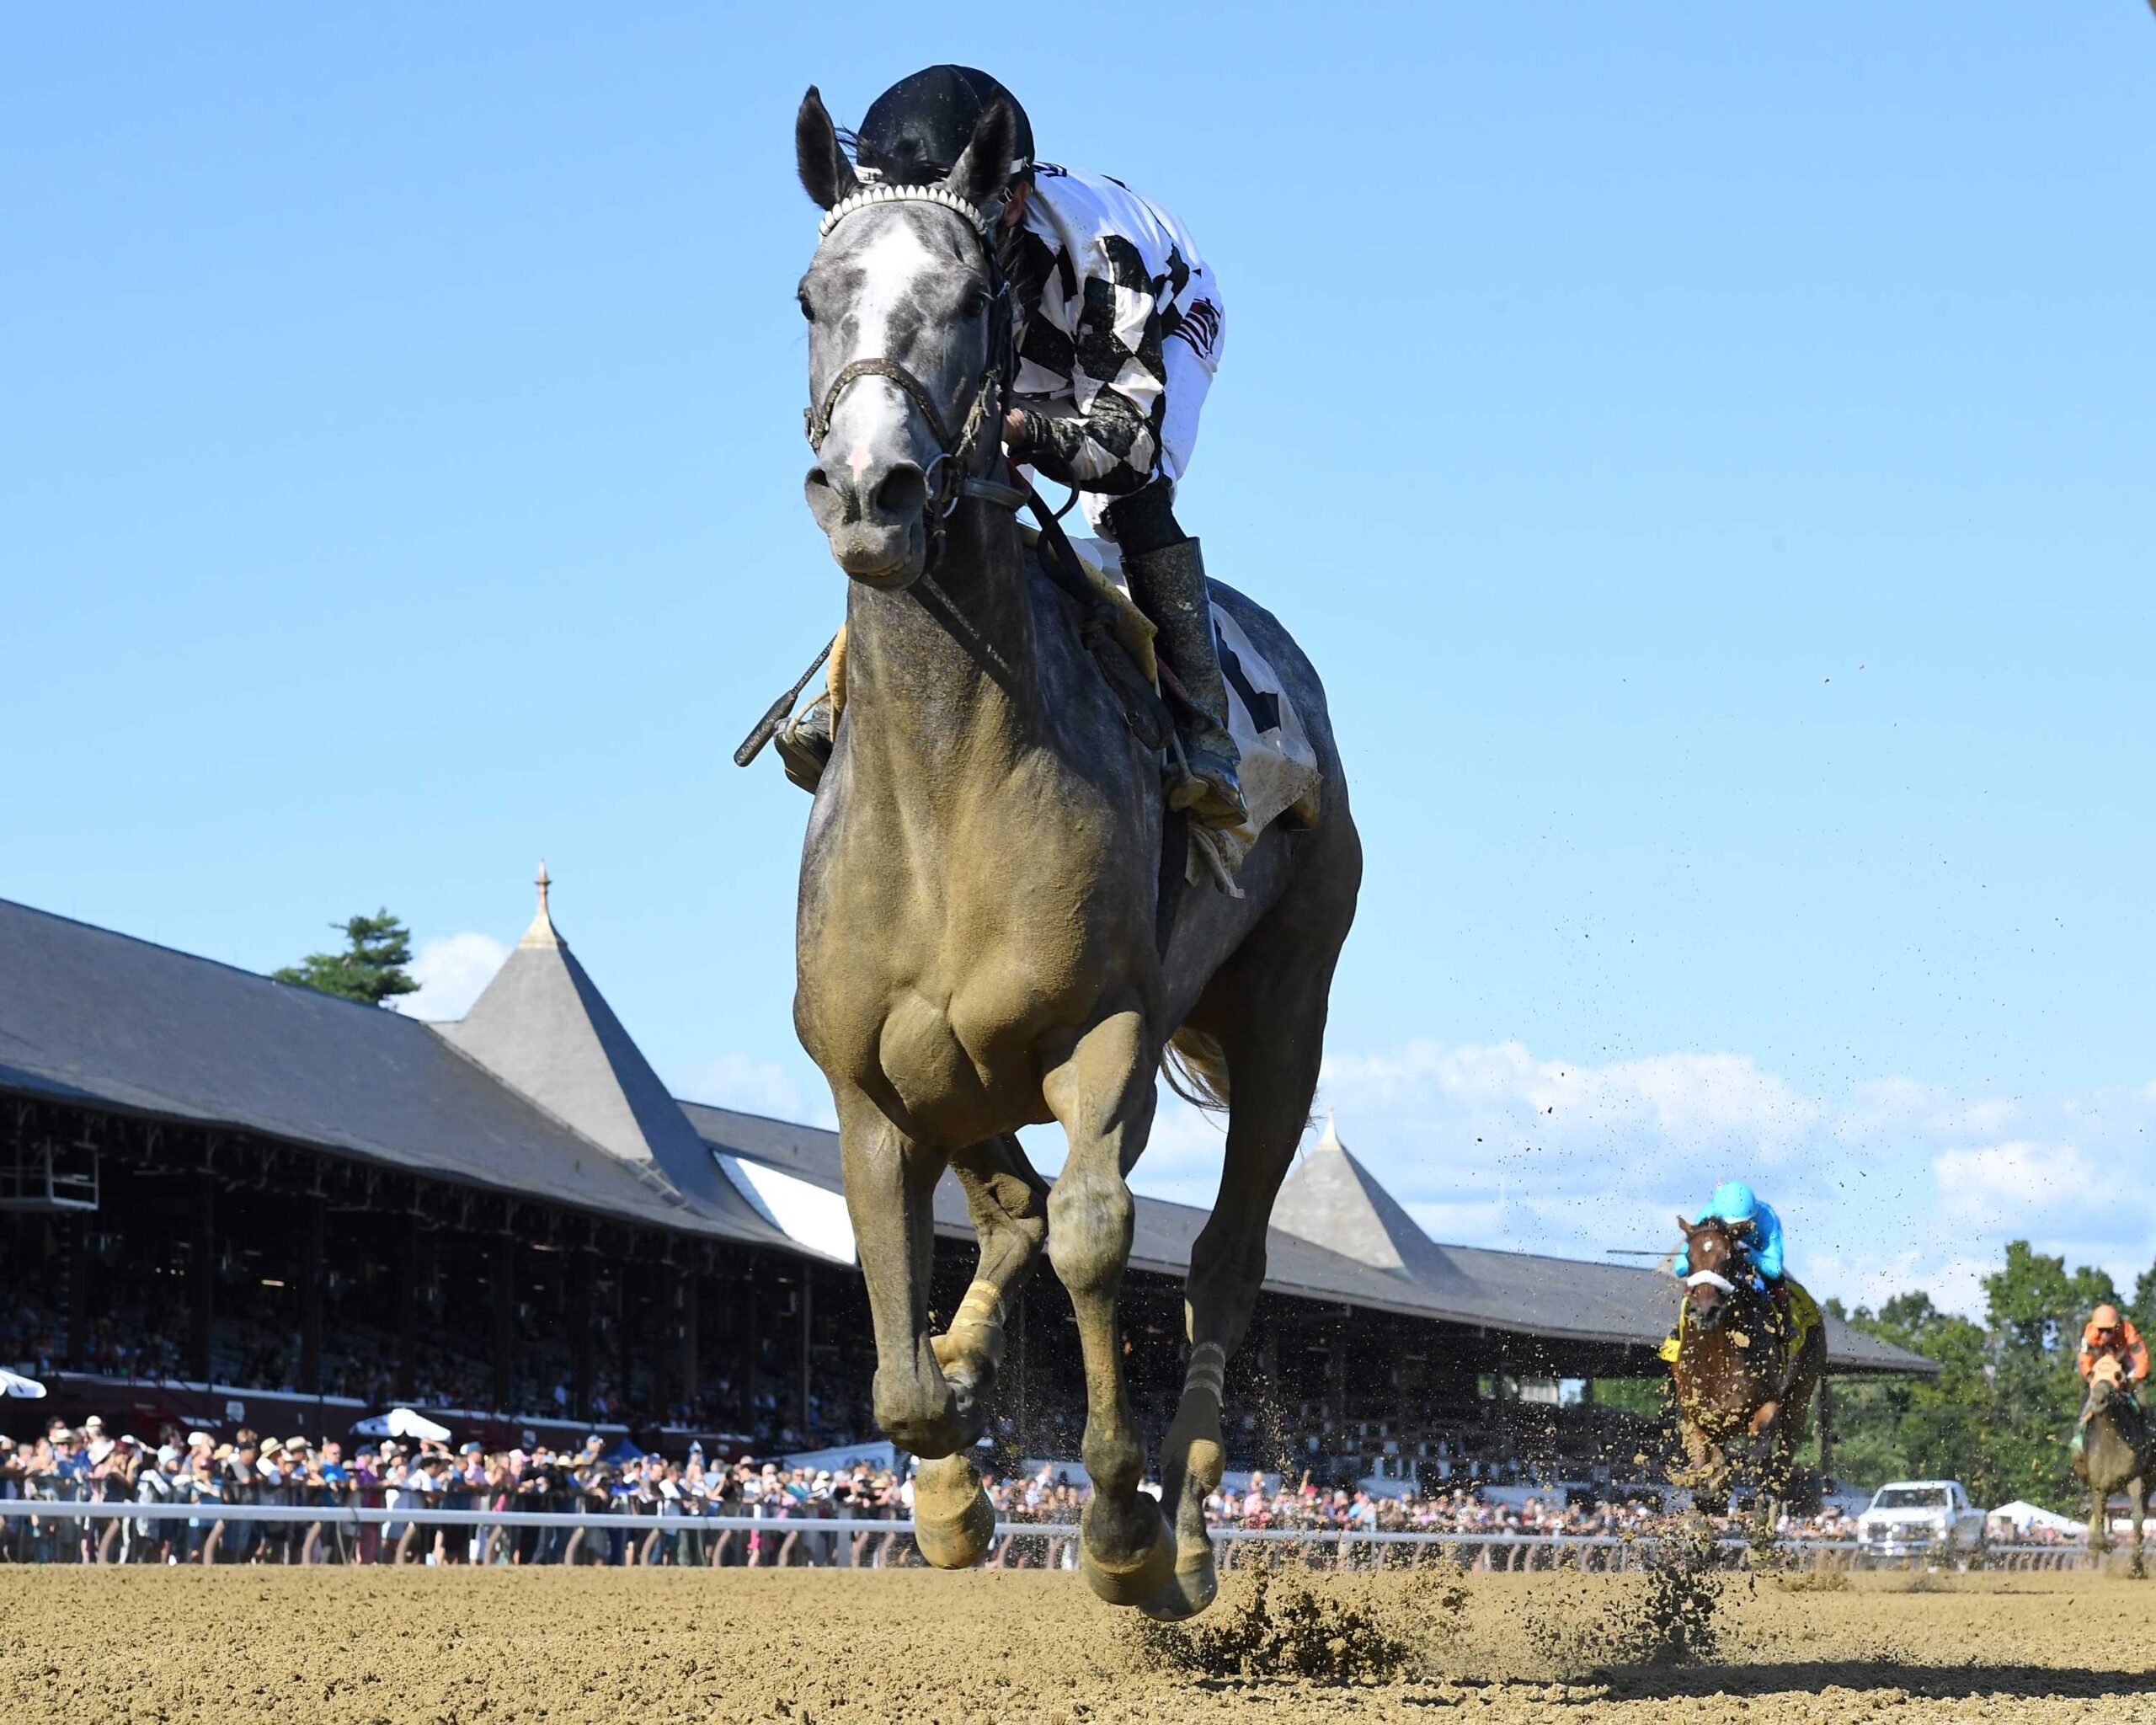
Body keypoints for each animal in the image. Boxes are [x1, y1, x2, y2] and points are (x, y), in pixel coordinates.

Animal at [782, 88, 1362, 1620]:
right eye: (811, 295)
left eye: (969, 300)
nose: (872, 489)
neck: (945, 783)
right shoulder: (870, 1073)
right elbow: (904, 1348)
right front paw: (948, 1487)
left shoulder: (1106, 1033)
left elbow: (1105, 1232)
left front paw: (1118, 1524)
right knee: (1015, 1213)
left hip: (1284, 1013)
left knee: (1220, 1262)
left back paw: (1195, 1528)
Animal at [1668, 1214, 1826, 1527]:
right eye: (1689, 1257)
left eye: (1728, 1257)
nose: (1705, 1311)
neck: (1717, 1356)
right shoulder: (1696, 1415)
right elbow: (1704, 1463)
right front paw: (1707, 1499)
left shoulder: (1768, 1405)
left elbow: (1758, 1452)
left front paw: (1757, 1505)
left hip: (1801, 1394)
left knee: (1784, 1454)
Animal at [2074, 1357, 2153, 1575]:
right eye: (2093, 1373)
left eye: (2117, 1376)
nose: (2098, 1400)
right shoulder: (2099, 1486)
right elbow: (2100, 1518)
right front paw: (2103, 1544)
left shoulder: (2135, 1478)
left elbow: (2137, 1518)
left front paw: (2136, 1566)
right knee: (2097, 1517)